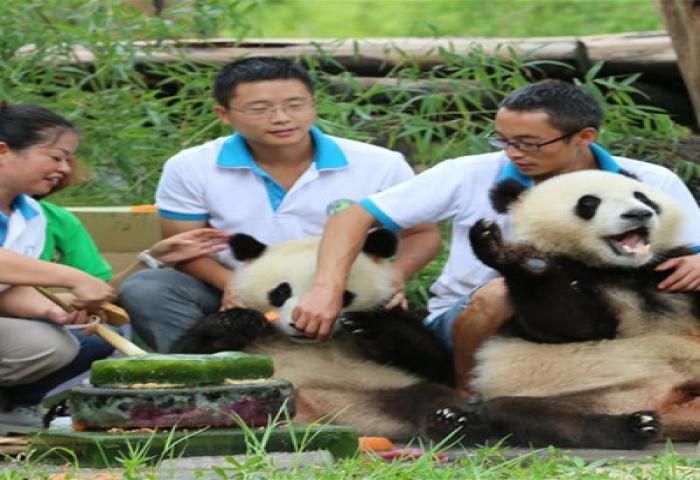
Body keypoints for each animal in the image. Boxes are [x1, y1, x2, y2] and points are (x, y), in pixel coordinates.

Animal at [172, 224, 664, 448]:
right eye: (281, 291)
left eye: (342, 294)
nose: (300, 323)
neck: (315, 344)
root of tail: (330, 417)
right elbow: (189, 353)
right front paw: (239, 321)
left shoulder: (408, 341)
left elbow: (427, 354)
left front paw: (368, 324)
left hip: (384, 389)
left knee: (439, 398)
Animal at [463, 170, 700, 442]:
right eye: (589, 203)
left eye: (642, 197)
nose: (639, 214)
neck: (624, 270)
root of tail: (668, 411)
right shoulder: (574, 276)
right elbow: (568, 323)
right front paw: (498, 248)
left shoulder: (663, 270)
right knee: (531, 415)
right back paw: (636, 426)